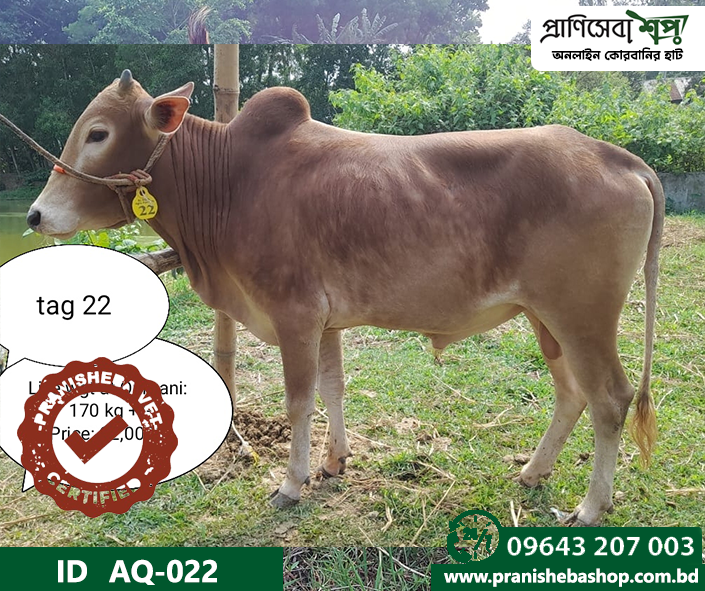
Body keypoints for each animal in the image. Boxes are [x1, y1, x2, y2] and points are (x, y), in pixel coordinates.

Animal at [27, 70, 663, 526]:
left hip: (582, 317)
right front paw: (334, 463)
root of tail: (619, 157)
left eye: (99, 133)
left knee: (610, 400)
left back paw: (590, 507)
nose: (34, 215)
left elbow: (299, 402)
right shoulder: (327, 323)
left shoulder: (295, 316)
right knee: (572, 395)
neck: (229, 184)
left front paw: (291, 483)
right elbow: (333, 389)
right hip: (545, 318)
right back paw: (533, 472)